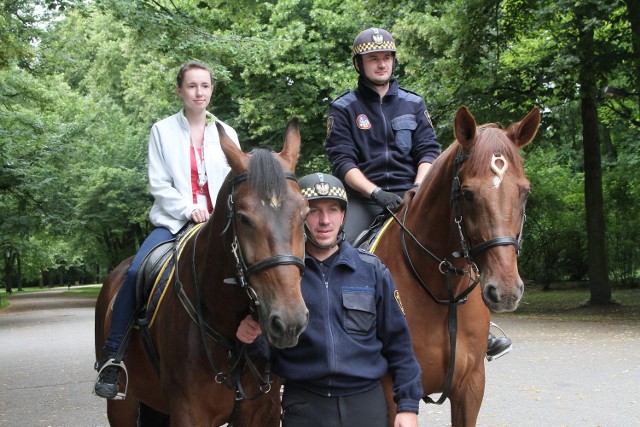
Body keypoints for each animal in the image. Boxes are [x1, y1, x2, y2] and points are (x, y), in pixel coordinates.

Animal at [94, 118, 310, 426]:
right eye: (243, 218)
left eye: (304, 214)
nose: (289, 321)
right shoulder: (188, 412)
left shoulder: (263, 412)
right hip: (122, 405)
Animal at [376, 105, 540, 426]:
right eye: (467, 193)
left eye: (524, 192)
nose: (505, 290)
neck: (443, 292)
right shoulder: (391, 398)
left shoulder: (470, 389)